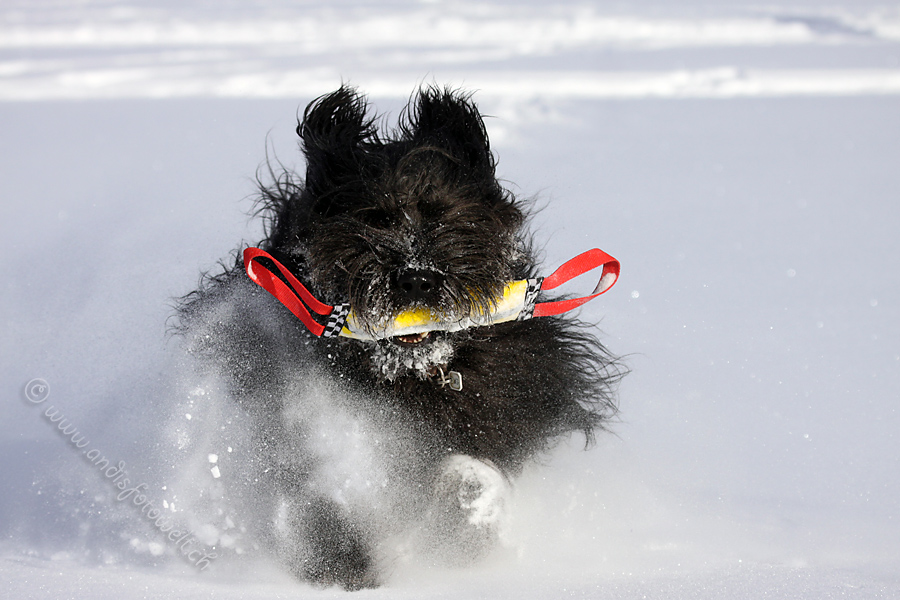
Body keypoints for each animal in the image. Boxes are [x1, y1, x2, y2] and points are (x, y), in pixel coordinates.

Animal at [179, 86, 624, 588]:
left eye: (443, 216)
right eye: (372, 218)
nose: (415, 278)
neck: (412, 377)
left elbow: (473, 470)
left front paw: (466, 514)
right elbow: (311, 486)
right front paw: (338, 558)